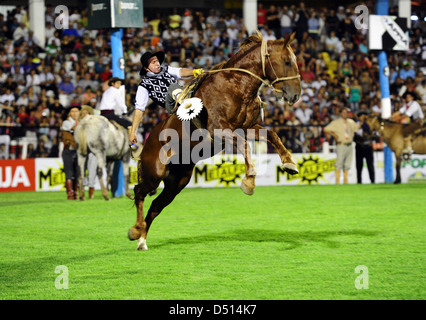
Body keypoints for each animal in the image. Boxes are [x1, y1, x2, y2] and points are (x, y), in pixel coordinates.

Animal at [128, 31, 302, 250]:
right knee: (139, 192)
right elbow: (244, 145)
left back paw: (142, 239)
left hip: (177, 182)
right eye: (287, 61)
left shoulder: (246, 127)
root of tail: (145, 146)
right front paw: (249, 181)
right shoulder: (220, 130)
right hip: (154, 174)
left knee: (155, 206)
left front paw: (290, 163)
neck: (233, 85)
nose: (296, 94)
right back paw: (135, 230)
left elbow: (271, 135)